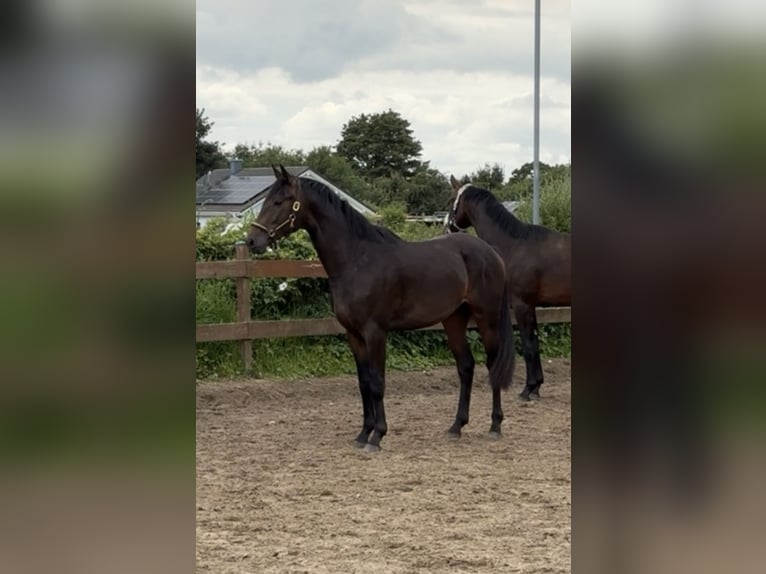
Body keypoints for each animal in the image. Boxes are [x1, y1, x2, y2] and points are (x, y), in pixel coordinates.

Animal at [249, 164, 520, 452]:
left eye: (280, 201)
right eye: (266, 200)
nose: (252, 240)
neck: (357, 260)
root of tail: (491, 253)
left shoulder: (375, 332)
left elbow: (378, 383)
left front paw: (377, 436)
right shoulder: (354, 335)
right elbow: (364, 383)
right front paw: (362, 434)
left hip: (487, 318)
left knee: (492, 364)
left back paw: (495, 426)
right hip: (454, 320)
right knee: (466, 367)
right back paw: (456, 427)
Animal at [444, 178, 568, 402]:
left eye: (451, 200)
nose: (446, 226)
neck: (515, 245)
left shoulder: (521, 305)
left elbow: (528, 346)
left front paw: (528, 389)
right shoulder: (530, 306)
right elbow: (534, 344)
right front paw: (536, 387)